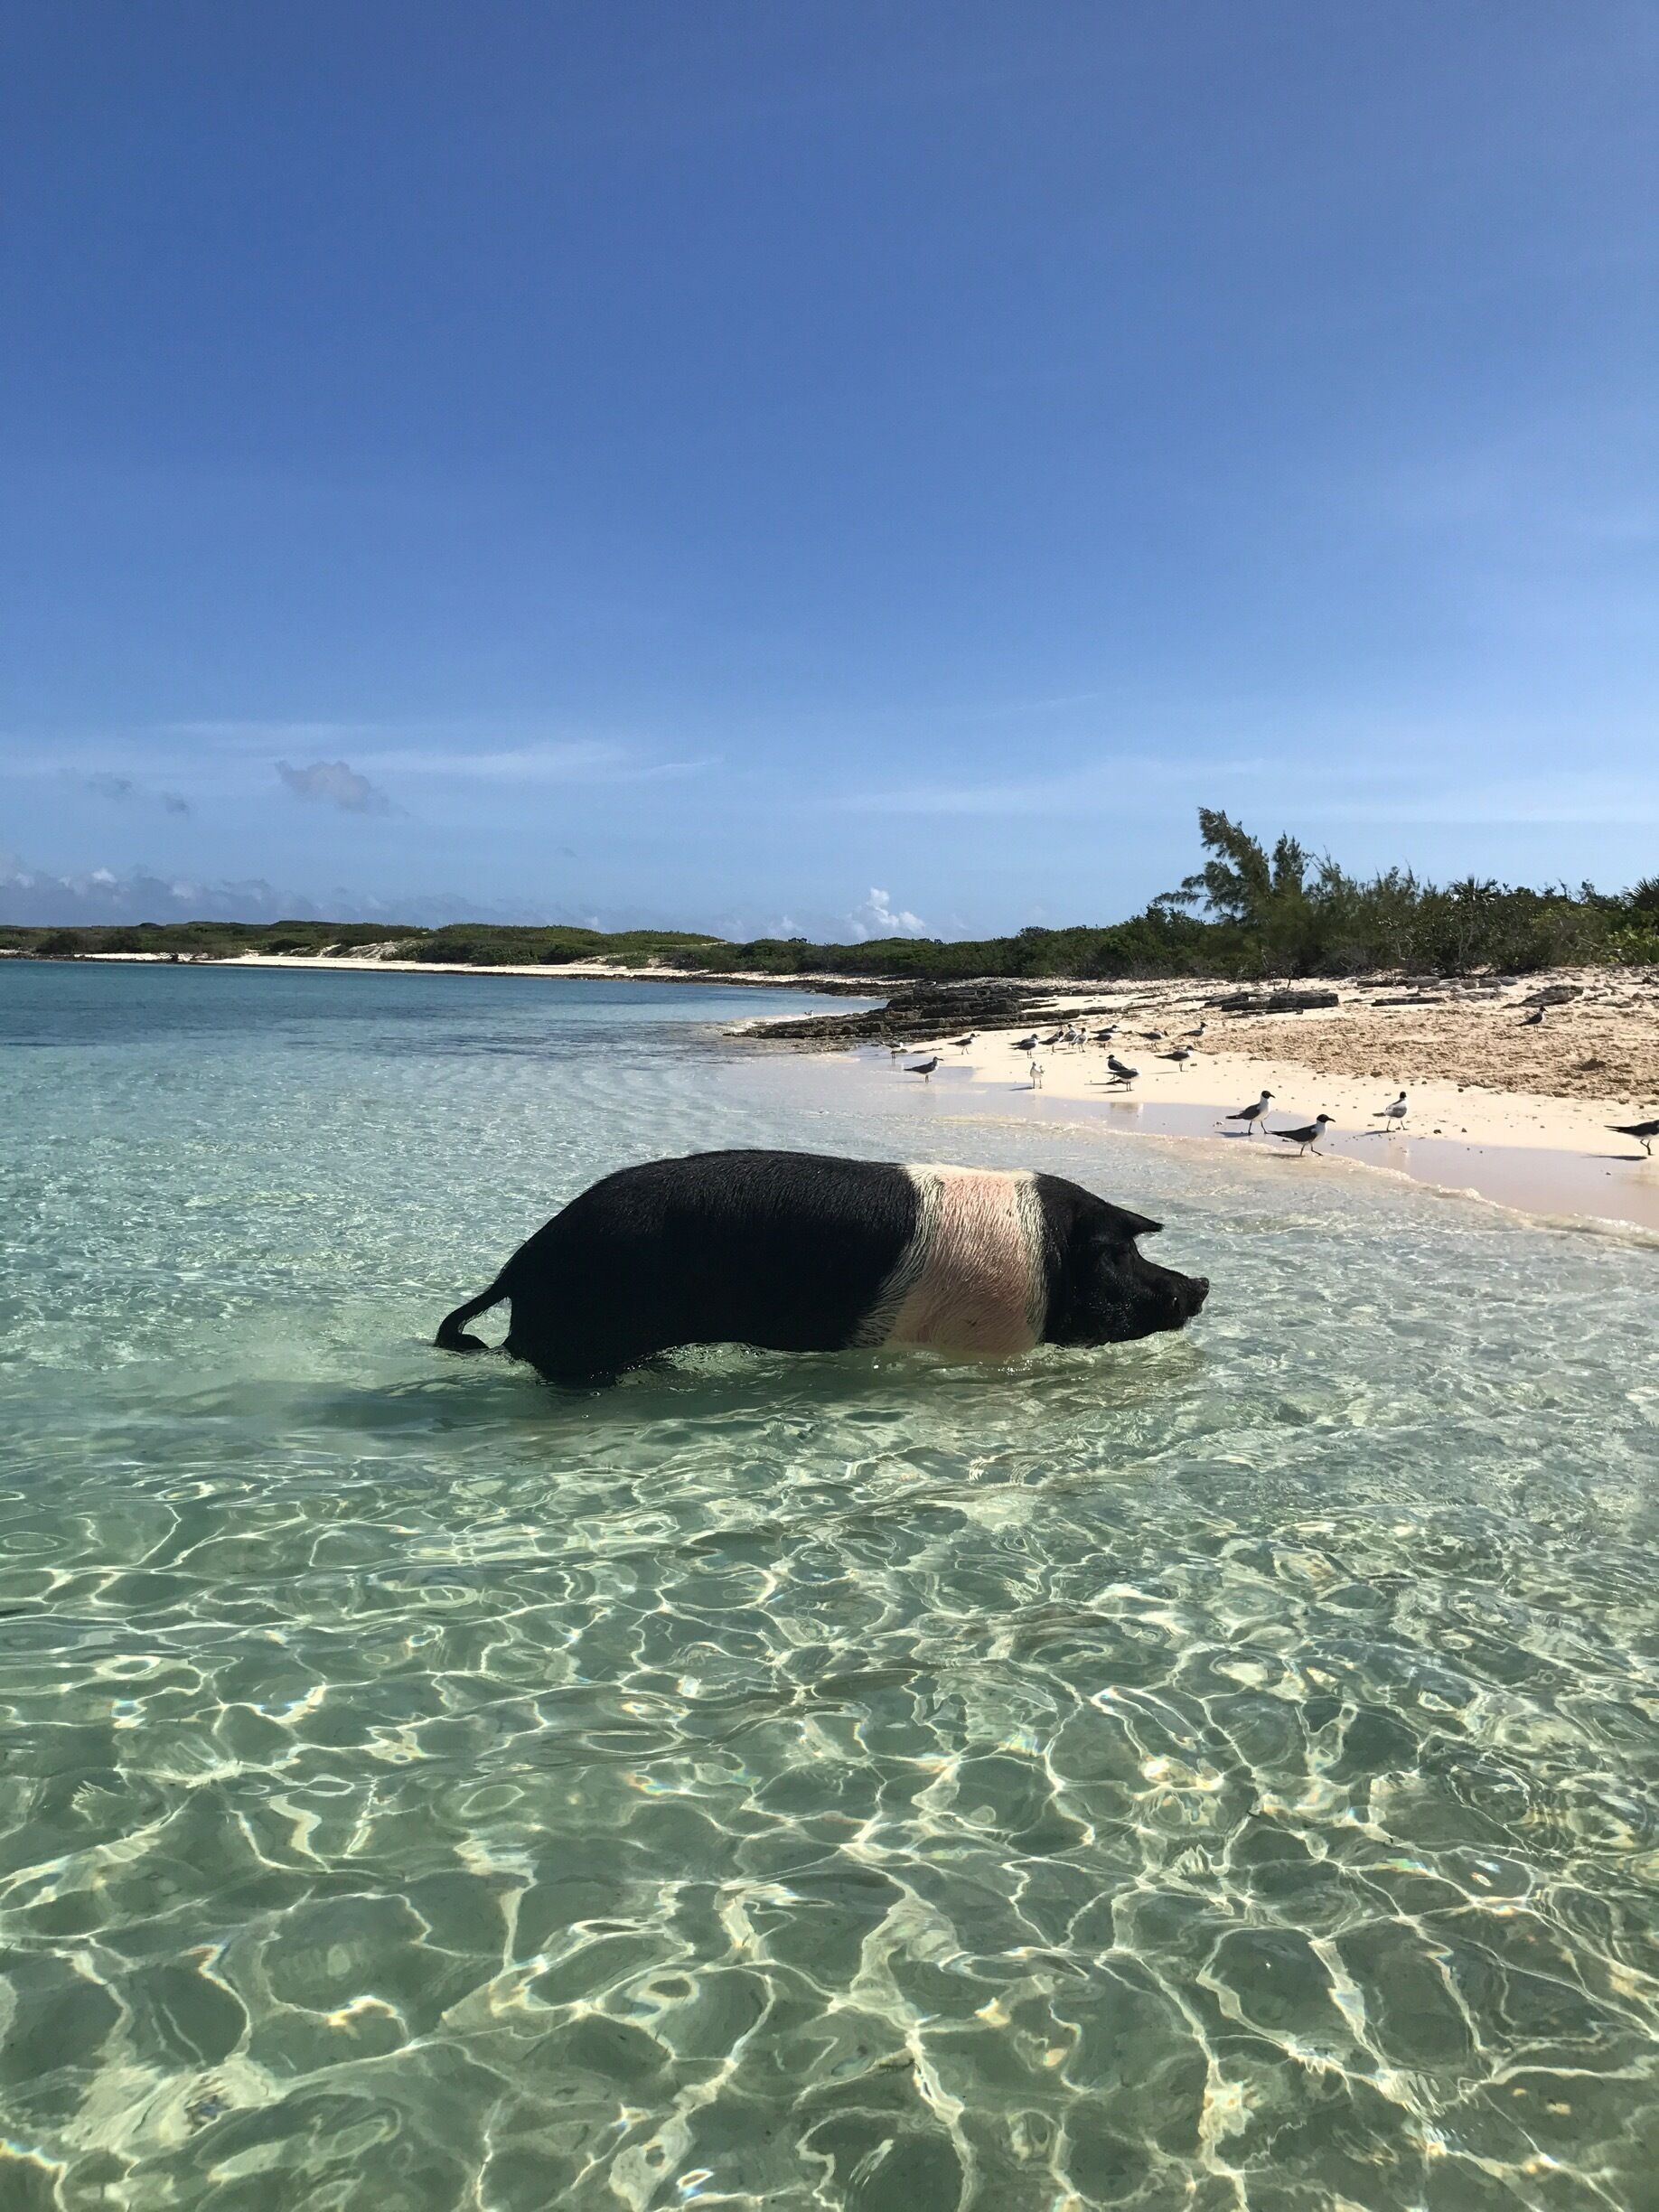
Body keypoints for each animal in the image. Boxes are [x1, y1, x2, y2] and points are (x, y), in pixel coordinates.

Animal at [436, 1148, 1208, 1386]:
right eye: (1122, 1253)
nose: (1199, 1284)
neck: (1047, 1264)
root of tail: (521, 1264)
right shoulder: (984, 1336)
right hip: (584, 1335)